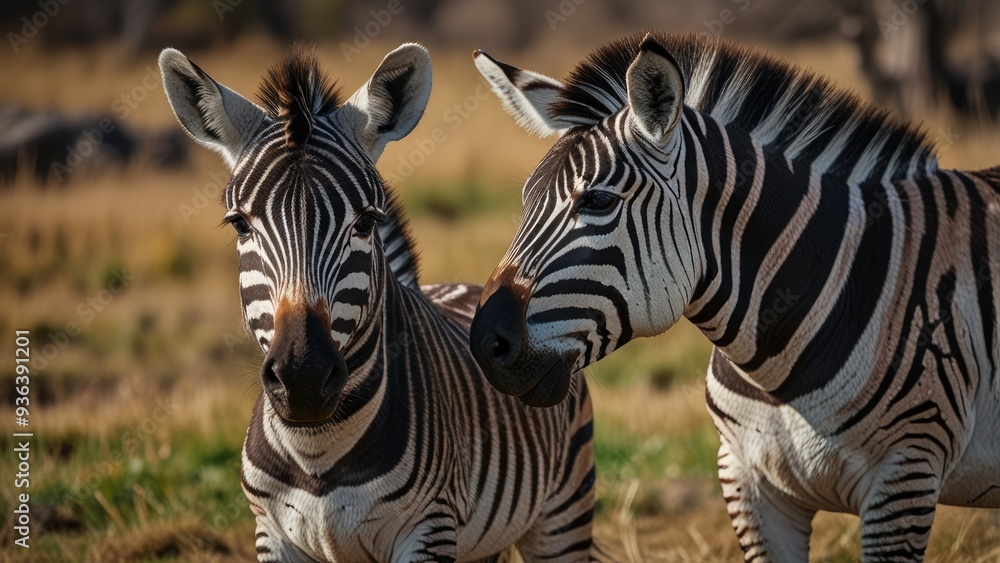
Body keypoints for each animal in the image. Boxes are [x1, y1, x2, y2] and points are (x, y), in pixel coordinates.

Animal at [159, 43, 600, 562]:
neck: (316, 448)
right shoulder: (272, 533)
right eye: (240, 225)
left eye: (366, 222)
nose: (303, 378)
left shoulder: (427, 529)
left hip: (562, 511)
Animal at [468, 31, 1000, 561]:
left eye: (597, 200)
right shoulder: (748, 483)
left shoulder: (904, 475)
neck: (777, 370)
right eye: (525, 202)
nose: (485, 346)